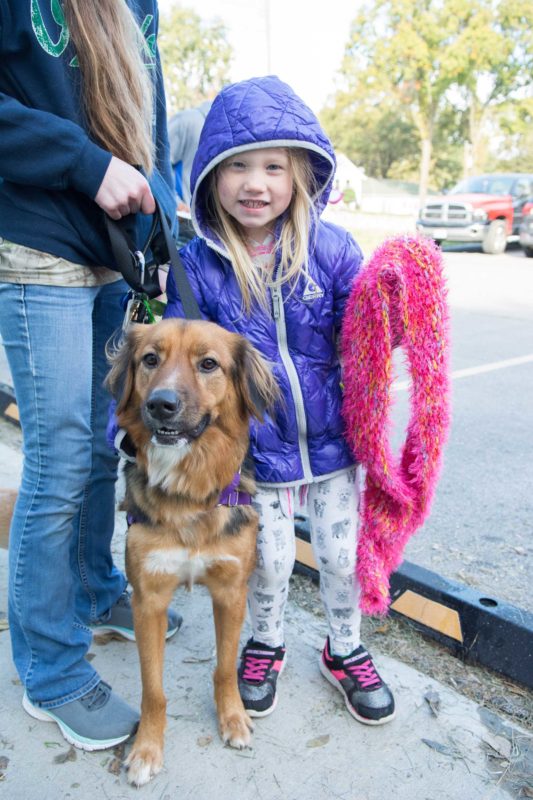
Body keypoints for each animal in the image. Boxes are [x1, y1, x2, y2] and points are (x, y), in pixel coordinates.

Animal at [106, 316, 276, 784]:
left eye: (208, 364)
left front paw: (233, 718)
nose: (161, 404)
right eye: (150, 359)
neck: (190, 494)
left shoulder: (232, 592)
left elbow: (224, 667)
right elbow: (153, 689)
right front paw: (147, 749)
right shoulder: (149, 600)